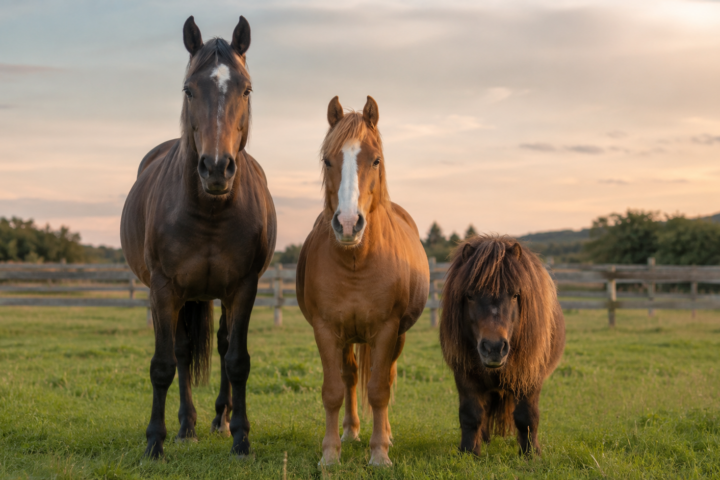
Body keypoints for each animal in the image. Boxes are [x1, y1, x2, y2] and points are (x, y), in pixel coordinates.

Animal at [120, 16, 276, 459]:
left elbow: (237, 360)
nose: (217, 168)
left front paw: (241, 437)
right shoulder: (162, 289)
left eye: (246, 88)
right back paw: (186, 425)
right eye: (189, 89)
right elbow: (163, 364)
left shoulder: (243, 288)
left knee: (221, 347)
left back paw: (219, 420)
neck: (209, 212)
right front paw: (154, 442)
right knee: (183, 352)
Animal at [296, 96, 430, 467]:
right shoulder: (326, 330)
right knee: (350, 377)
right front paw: (330, 454)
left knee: (384, 377)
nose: (347, 223)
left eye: (376, 159)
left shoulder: (386, 329)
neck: (357, 261)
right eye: (328, 159)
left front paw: (380, 453)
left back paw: (385, 435)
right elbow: (333, 391)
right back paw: (351, 432)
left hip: (396, 336)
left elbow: (379, 390)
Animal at [439, 235, 565, 456]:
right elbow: (471, 415)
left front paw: (531, 454)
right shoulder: (465, 375)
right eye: (469, 295)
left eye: (515, 295)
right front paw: (469, 452)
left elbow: (527, 417)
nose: (494, 348)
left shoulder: (530, 376)